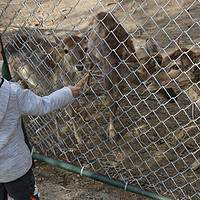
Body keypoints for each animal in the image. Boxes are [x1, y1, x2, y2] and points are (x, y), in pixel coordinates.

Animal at [86, 11, 177, 140]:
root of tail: (99, 13)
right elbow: (110, 102)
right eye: (148, 82)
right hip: (90, 51)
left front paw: (112, 131)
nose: (173, 97)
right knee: (89, 65)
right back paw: (86, 89)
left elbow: (117, 102)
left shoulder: (122, 83)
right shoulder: (107, 78)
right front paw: (111, 133)